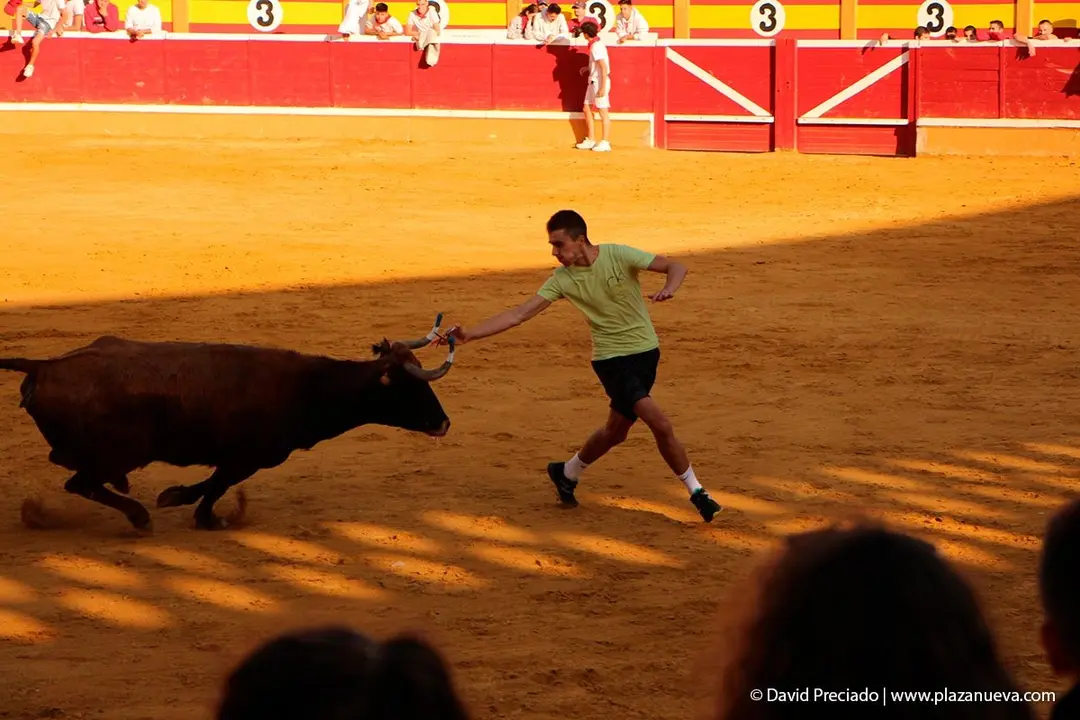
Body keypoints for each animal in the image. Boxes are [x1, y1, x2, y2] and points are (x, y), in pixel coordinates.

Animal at [0, 314, 457, 531]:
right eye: (410, 389)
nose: (444, 423)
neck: (306, 387)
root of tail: (43, 365)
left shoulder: (241, 457)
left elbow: (209, 482)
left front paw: (174, 496)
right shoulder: (249, 457)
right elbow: (217, 484)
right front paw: (205, 518)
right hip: (122, 451)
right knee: (80, 481)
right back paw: (138, 517)